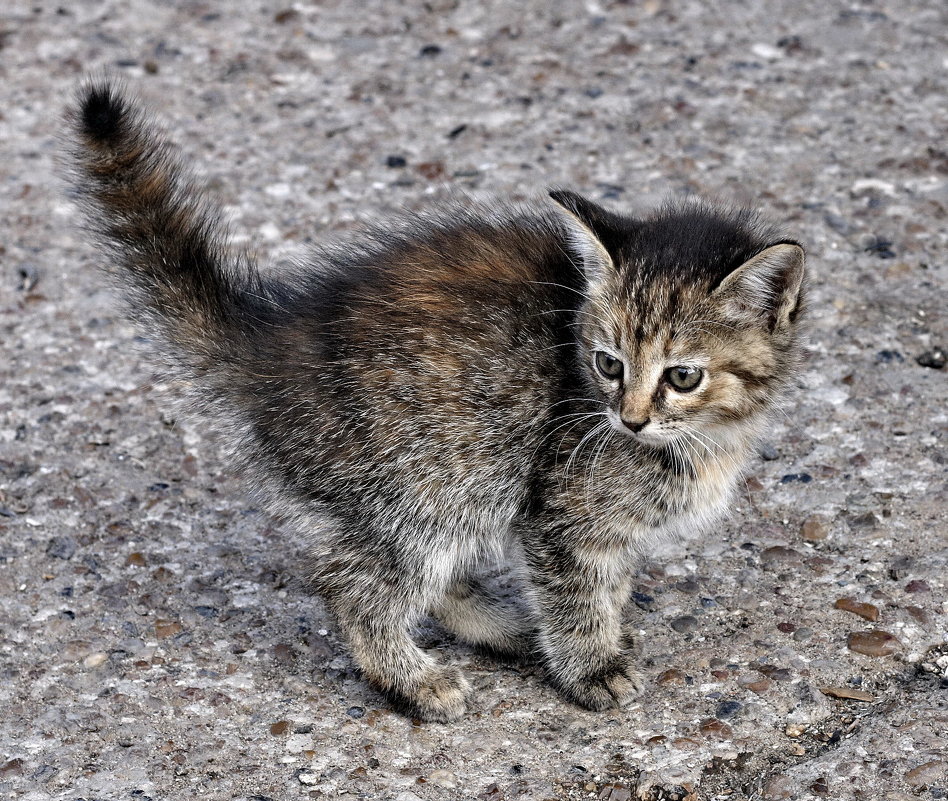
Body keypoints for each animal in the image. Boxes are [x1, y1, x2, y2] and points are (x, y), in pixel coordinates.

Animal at [68, 83, 808, 724]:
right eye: (608, 364)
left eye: (681, 376)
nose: (629, 418)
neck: (702, 437)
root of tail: (273, 342)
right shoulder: (562, 508)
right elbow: (575, 589)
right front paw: (590, 664)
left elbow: (609, 581)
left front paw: (599, 631)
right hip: (426, 476)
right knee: (351, 583)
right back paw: (414, 679)